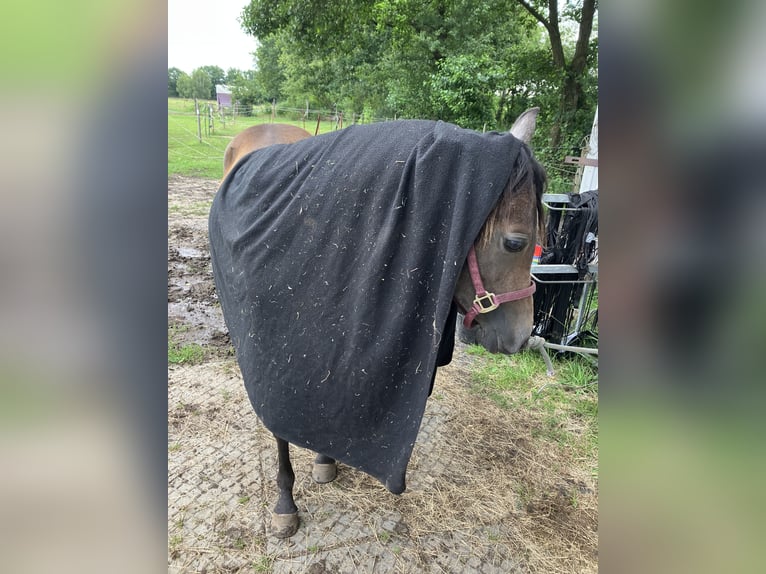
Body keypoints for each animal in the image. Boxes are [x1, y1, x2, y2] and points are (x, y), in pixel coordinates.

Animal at [207, 109, 548, 540]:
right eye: (516, 243)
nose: (521, 337)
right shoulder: (272, 354)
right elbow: (279, 427)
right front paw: (285, 503)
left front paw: (325, 457)